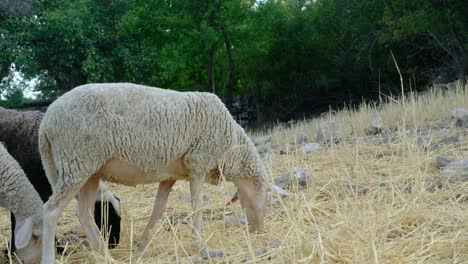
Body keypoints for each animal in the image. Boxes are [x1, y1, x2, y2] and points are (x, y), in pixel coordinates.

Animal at [38, 82, 272, 262]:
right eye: (266, 198)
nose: (260, 231)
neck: (232, 148)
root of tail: (46, 123)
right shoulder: (198, 163)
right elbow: (196, 207)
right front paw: (199, 246)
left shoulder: (169, 176)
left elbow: (158, 209)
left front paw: (142, 244)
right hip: (76, 161)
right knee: (50, 211)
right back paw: (50, 258)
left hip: (88, 170)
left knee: (83, 212)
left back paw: (106, 256)